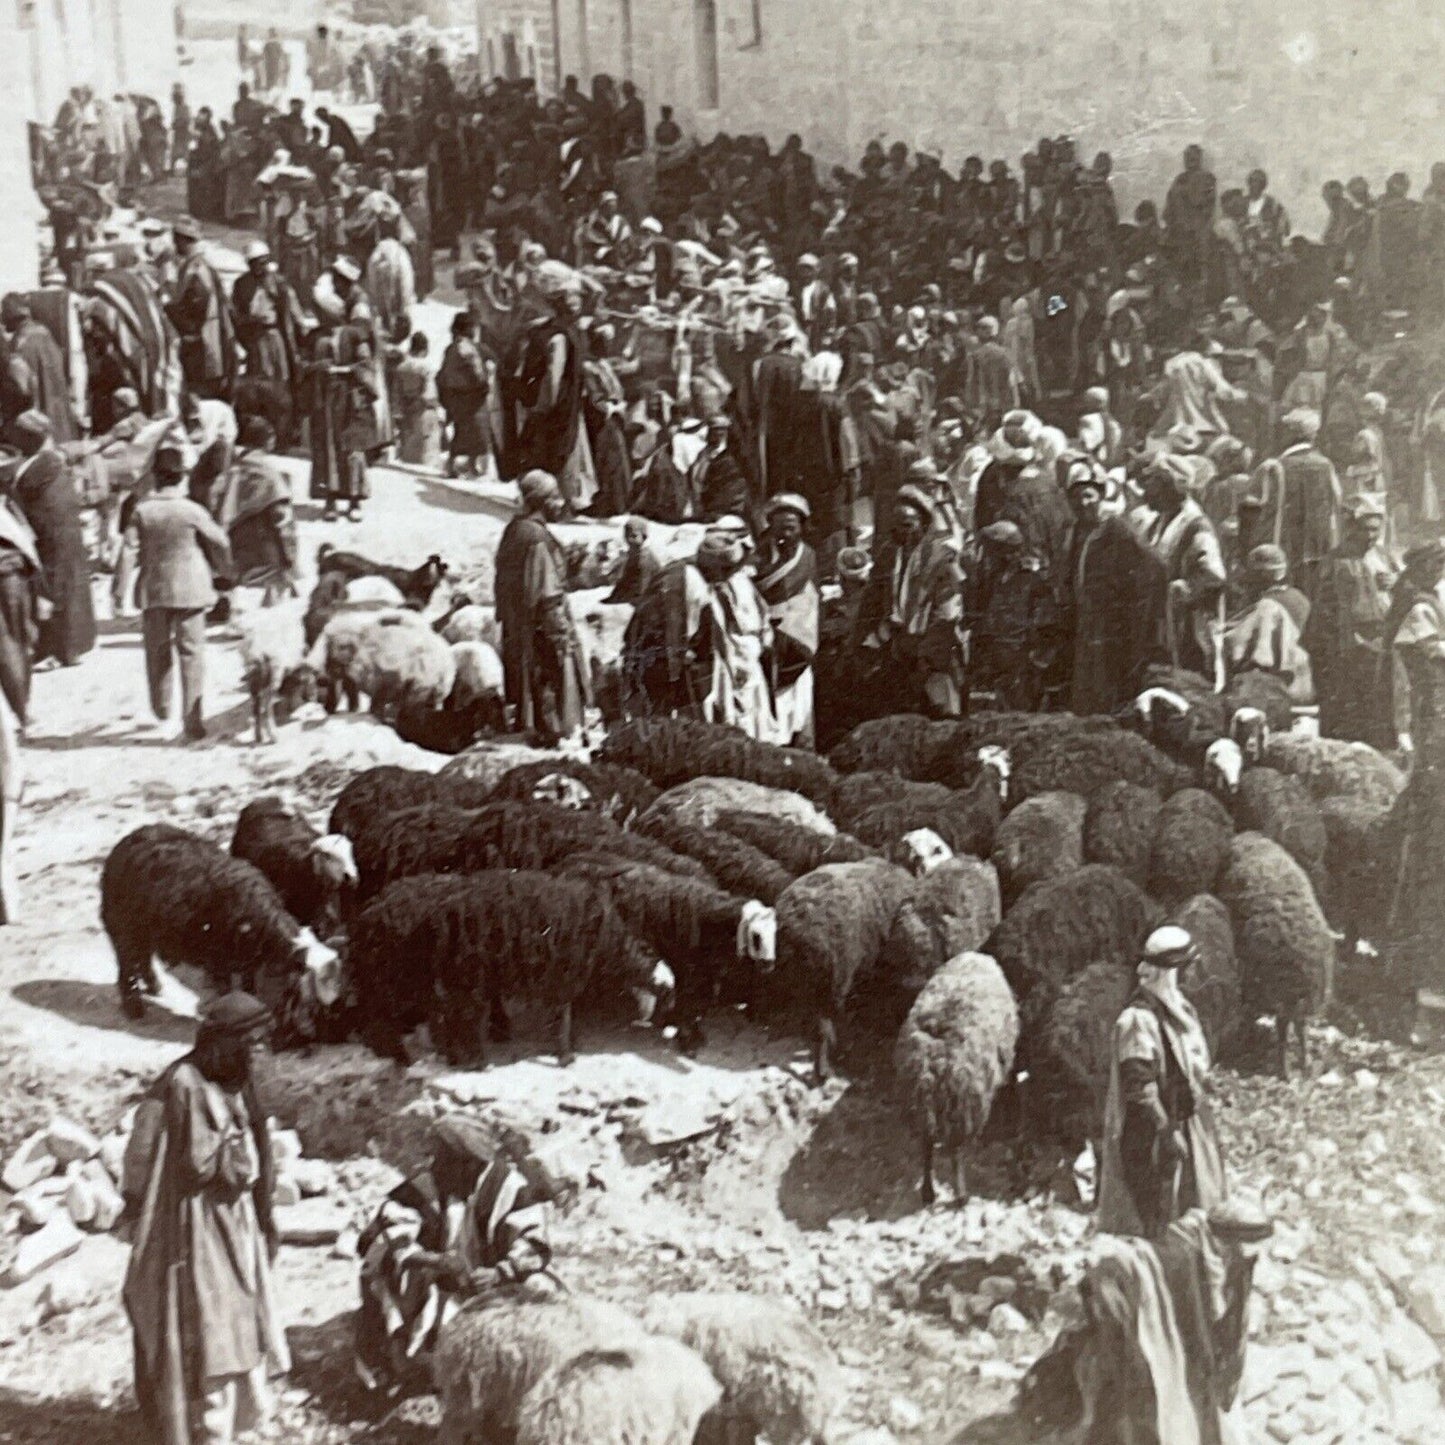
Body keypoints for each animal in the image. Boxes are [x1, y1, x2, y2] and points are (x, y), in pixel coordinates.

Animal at [100, 826, 339, 1028]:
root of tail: (119, 848)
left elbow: (247, 983)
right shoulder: (218, 958)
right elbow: (225, 988)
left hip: (143, 933)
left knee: (143, 959)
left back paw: (155, 988)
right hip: (123, 930)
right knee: (127, 967)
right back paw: (135, 1010)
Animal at [346, 867, 667, 1063]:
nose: (651, 1017)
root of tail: (369, 912)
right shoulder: (563, 971)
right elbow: (563, 1012)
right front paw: (565, 1054)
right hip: (397, 977)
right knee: (381, 1018)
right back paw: (405, 1055)